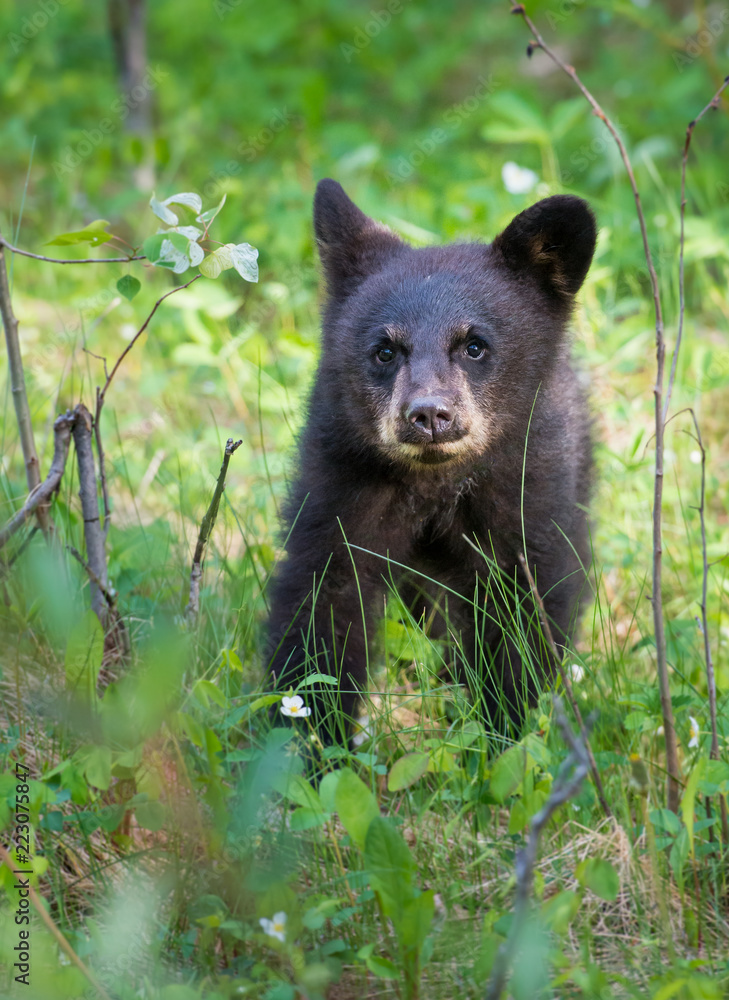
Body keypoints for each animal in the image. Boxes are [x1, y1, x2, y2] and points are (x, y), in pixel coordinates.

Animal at [266, 178, 596, 743]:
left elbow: (528, 604)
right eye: (384, 350)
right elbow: (324, 595)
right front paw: (308, 737)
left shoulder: (530, 485)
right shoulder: (342, 477)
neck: (436, 482)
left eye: (474, 345)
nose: (428, 414)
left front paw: (504, 729)